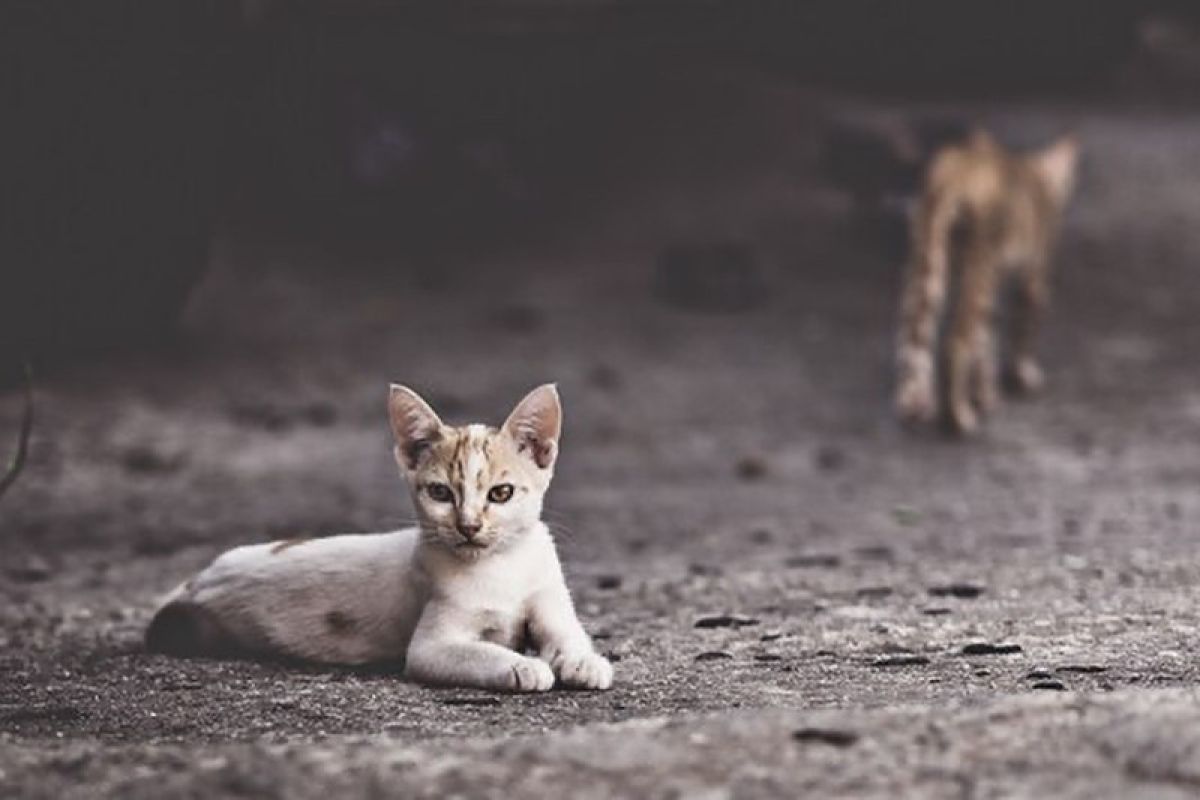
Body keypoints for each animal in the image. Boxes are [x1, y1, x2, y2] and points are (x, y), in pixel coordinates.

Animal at [146, 383, 614, 690]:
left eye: (501, 493)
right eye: (440, 493)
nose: (468, 526)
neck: (501, 568)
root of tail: (198, 578)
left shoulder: (548, 596)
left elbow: (567, 635)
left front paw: (585, 661)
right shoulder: (431, 647)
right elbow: (476, 652)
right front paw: (522, 665)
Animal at [892, 128, 1080, 434]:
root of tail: (957, 177)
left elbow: (985, 338)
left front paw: (986, 393)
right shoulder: (1034, 276)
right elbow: (1021, 328)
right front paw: (1022, 375)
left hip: (925, 256)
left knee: (916, 335)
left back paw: (915, 403)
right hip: (981, 262)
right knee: (956, 342)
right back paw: (958, 418)